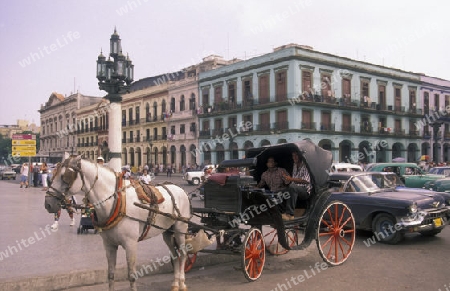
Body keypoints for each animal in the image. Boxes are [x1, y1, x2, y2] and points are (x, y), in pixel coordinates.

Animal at [48, 157, 191, 291]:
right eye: (53, 175)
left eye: (65, 177)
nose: (48, 203)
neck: (116, 200)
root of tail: (181, 189)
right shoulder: (109, 244)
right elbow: (111, 274)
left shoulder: (131, 243)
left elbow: (132, 275)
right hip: (168, 232)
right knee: (174, 255)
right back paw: (175, 284)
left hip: (180, 230)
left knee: (183, 253)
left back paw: (182, 283)